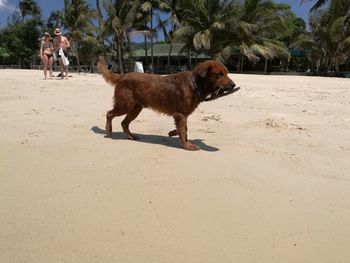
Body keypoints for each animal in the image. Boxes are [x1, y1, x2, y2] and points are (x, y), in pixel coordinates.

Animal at [97, 58, 237, 152]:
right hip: (125, 105)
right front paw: (187, 145)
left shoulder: (181, 115)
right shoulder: (180, 114)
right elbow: (184, 130)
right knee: (109, 114)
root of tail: (123, 75)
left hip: (136, 108)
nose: (233, 85)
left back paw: (131, 136)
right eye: (220, 74)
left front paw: (173, 133)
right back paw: (108, 131)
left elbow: (183, 129)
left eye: (226, 73)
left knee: (124, 123)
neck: (194, 84)